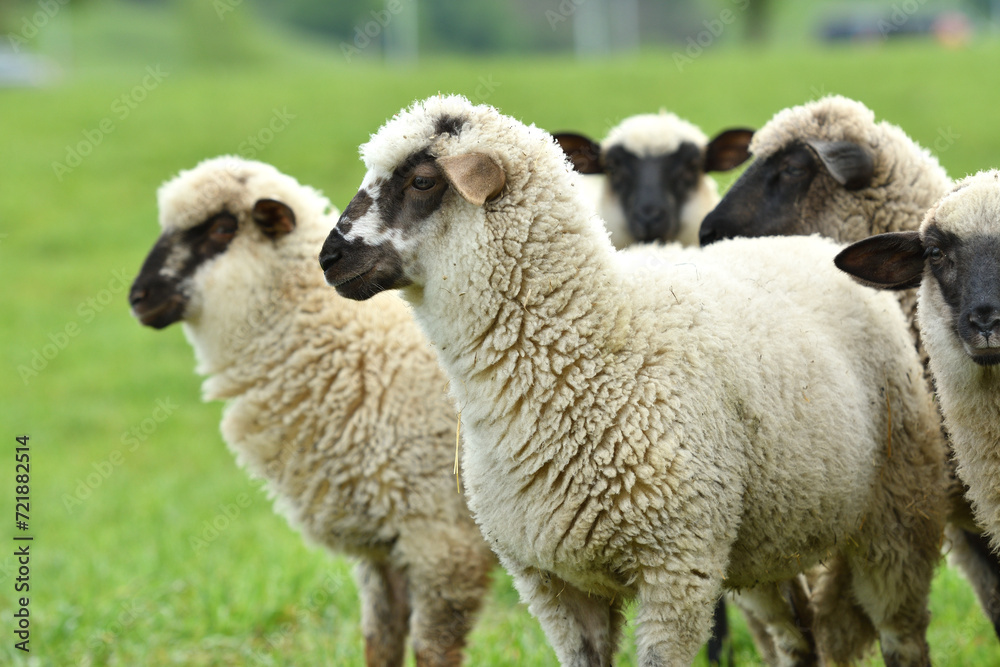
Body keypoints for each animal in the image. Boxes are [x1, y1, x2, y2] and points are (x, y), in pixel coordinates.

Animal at [129, 155, 496, 667]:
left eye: (221, 228)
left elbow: (432, 651)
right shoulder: (383, 548)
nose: (138, 298)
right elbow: (381, 641)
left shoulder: (442, 539)